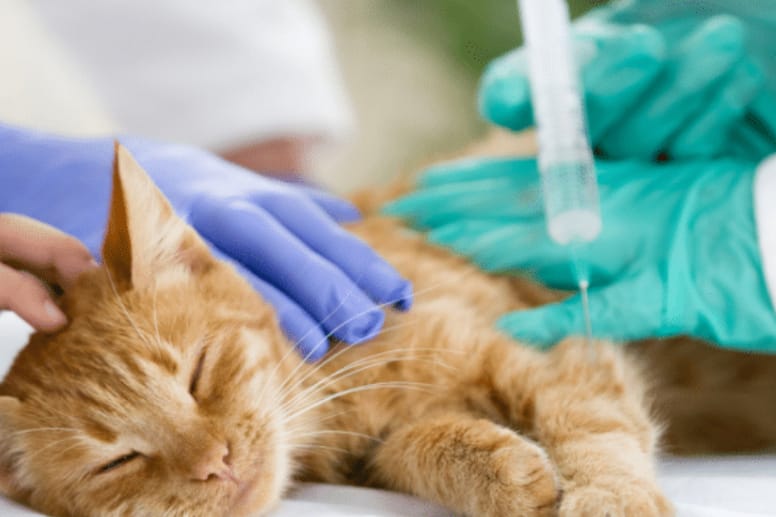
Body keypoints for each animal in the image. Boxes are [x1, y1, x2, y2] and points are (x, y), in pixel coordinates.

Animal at [0, 145, 772, 516]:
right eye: (116, 462)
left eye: (199, 371)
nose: (216, 461)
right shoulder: (375, 452)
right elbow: (419, 446)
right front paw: (502, 471)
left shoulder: (560, 351)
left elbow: (594, 429)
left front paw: (609, 499)